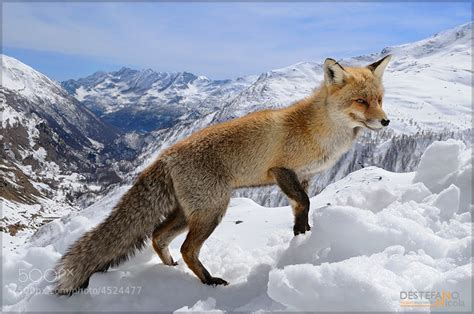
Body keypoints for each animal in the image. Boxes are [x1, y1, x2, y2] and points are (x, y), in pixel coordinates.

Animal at [54, 55, 392, 294]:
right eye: (361, 101)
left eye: (379, 99)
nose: (386, 121)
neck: (318, 131)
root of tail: (164, 154)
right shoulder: (281, 170)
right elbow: (306, 202)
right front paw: (302, 237)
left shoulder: (303, 177)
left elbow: (301, 208)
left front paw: (302, 237)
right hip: (212, 211)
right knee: (187, 248)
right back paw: (208, 280)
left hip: (189, 213)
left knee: (157, 235)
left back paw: (170, 268)